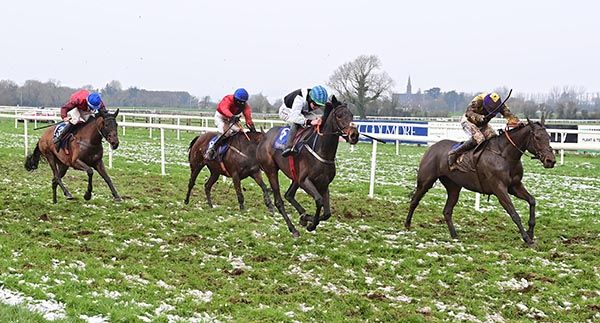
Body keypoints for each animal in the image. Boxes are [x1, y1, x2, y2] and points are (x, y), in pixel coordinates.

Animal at [255, 96, 358, 238]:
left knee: (289, 195)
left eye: (352, 115)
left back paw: (302, 216)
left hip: (295, 177)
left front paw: (305, 219)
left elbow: (327, 213)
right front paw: (311, 224)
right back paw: (293, 229)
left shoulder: (323, 184)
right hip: (271, 171)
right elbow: (319, 201)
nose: (354, 135)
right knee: (279, 201)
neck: (321, 150)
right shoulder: (305, 181)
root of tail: (264, 136)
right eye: (339, 115)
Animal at [406, 121, 556, 246]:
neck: (504, 155)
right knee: (414, 201)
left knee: (447, 211)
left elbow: (532, 200)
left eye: (549, 137)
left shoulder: (515, 186)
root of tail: (432, 147)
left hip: (454, 187)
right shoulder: (499, 188)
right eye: (537, 137)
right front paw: (527, 239)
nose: (551, 161)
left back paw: (454, 235)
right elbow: (514, 214)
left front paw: (531, 232)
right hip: (425, 181)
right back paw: (407, 225)